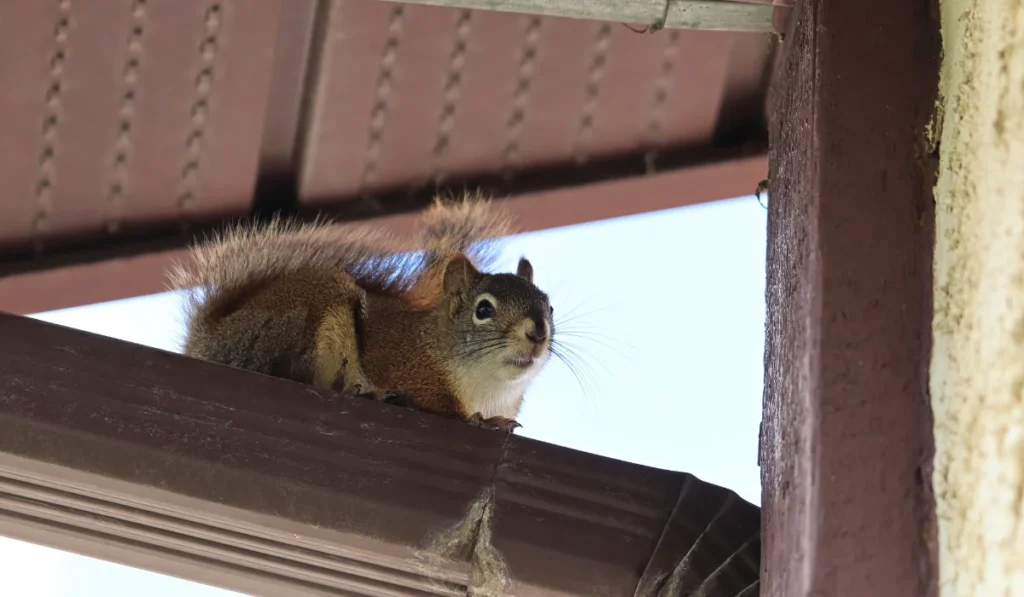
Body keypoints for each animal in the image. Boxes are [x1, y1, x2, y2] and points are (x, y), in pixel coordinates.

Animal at [169, 195, 554, 431]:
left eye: (549, 306)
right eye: (483, 309)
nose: (538, 332)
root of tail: (211, 341)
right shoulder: (413, 371)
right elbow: (440, 407)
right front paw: (482, 422)